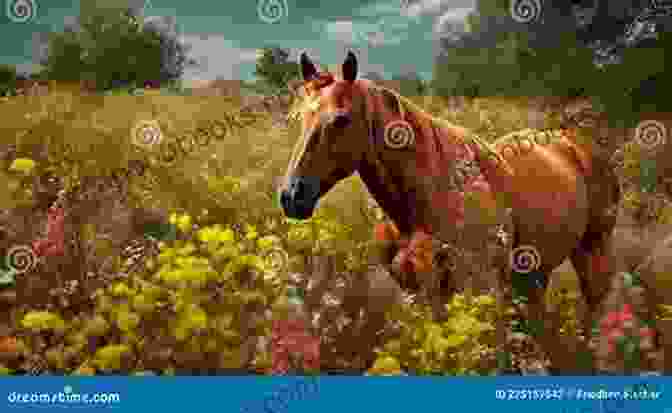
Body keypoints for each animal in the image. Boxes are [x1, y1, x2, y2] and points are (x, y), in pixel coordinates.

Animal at [276, 51, 628, 374]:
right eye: (299, 118)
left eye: (341, 119)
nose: (292, 195)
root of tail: (578, 143)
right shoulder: (416, 290)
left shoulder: (473, 289)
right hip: (531, 273)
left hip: (592, 251)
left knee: (592, 310)